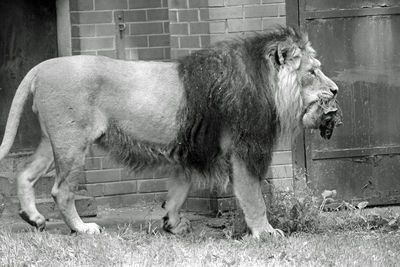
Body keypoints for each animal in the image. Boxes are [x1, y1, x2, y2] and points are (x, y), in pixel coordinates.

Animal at [0, 26, 340, 238]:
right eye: (313, 72)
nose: (336, 90)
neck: (265, 85)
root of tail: (42, 66)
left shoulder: (191, 148)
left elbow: (180, 189)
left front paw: (172, 223)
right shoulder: (243, 149)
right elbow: (254, 196)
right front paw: (266, 232)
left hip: (53, 140)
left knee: (25, 174)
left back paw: (33, 218)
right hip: (72, 144)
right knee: (60, 190)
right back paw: (81, 229)